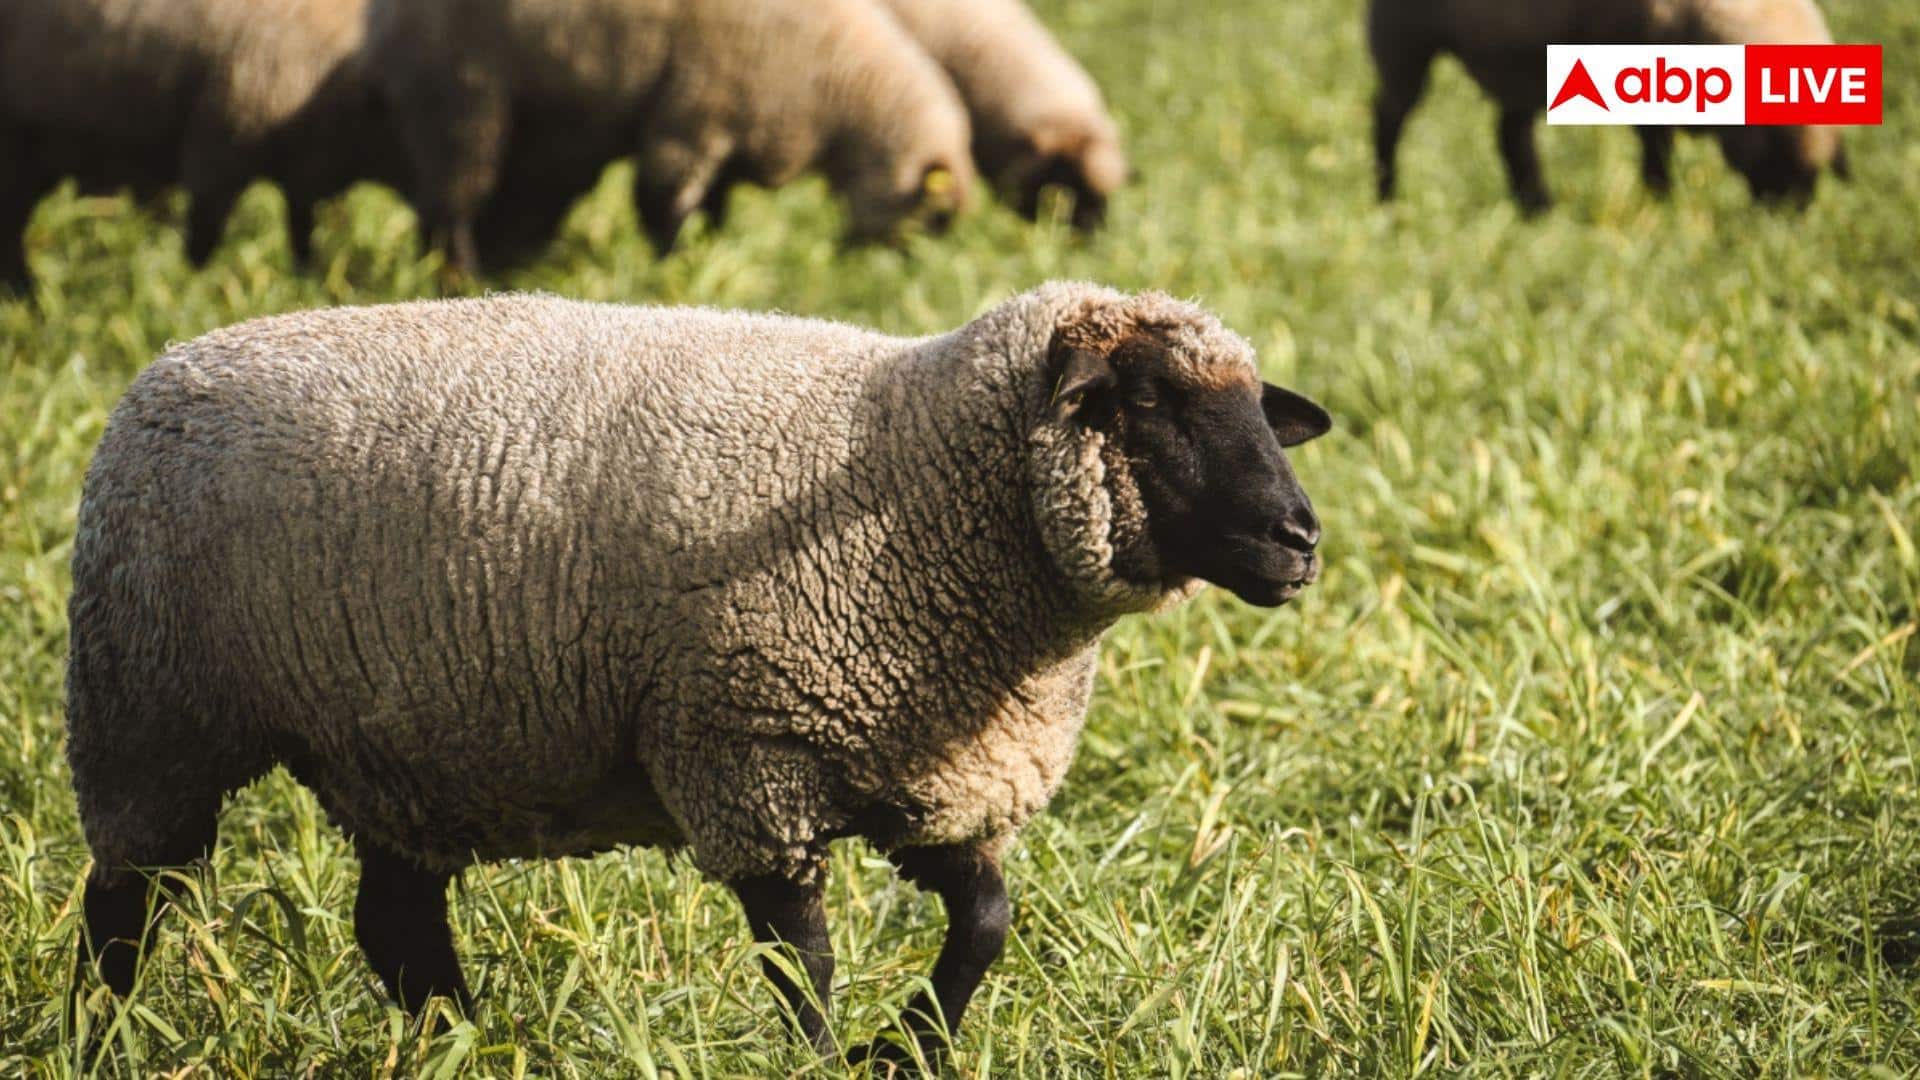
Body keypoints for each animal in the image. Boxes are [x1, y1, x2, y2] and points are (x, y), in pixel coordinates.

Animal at [0, 0, 399, 291]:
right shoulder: (217, 152)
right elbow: (201, 245)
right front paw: (193, 289)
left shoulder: (302, 172)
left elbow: (302, 233)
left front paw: (307, 282)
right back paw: (27, 298)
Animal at [67, 282, 1332, 1065]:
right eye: (1152, 401)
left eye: (1259, 413)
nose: (1300, 538)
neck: (918, 473)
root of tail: (162, 370)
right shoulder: (747, 752)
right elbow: (802, 957)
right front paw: (824, 1061)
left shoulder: (928, 772)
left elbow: (986, 923)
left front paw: (904, 1050)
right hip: (151, 710)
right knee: (126, 902)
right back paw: (101, 1041)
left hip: (402, 743)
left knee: (396, 923)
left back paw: (474, 1045)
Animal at [365, 0, 977, 275]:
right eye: (933, 218)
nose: (887, 273)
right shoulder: (694, 110)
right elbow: (665, 204)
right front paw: (673, 269)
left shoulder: (730, 132)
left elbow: (712, 210)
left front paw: (701, 256)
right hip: (462, 93)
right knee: (452, 201)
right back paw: (458, 275)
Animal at [1367, 0, 1849, 212]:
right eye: (1779, 164)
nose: (1789, 218)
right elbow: (1655, 144)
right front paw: (1660, 197)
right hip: (1403, 36)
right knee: (1389, 117)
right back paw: (1387, 195)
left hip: (1519, 56)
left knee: (1510, 134)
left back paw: (1536, 207)